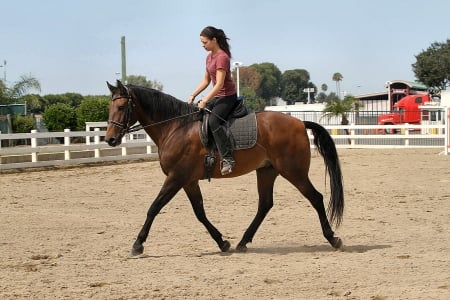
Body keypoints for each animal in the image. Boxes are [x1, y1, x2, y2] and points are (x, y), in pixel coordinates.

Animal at [106, 79, 344, 255]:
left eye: (121, 107)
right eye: (109, 108)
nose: (110, 139)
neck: (176, 127)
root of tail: (300, 122)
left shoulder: (176, 177)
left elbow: (154, 207)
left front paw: (138, 244)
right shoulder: (188, 181)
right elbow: (199, 212)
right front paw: (222, 242)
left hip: (293, 172)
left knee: (315, 198)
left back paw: (333, 238)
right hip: (267, 171)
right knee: (265, 204)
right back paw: (243, 242)